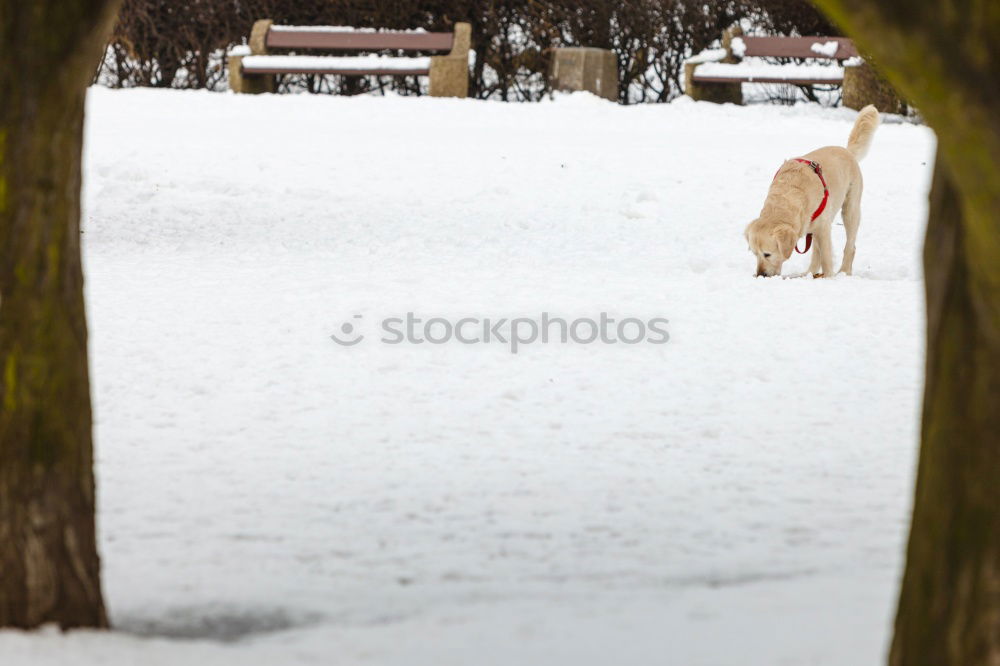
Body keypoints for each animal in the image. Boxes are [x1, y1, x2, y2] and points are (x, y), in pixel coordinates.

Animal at [748, 105, 880, 276]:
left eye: (767, 254)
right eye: (754, 254)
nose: (760, 275)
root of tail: (847, 151)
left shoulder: (823, 228)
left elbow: (826, 257)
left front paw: (829, 277)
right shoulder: (817, 227)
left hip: (850, 211)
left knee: (850, 247)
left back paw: (844, 272)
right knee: (816, 253)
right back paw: (808, 273)